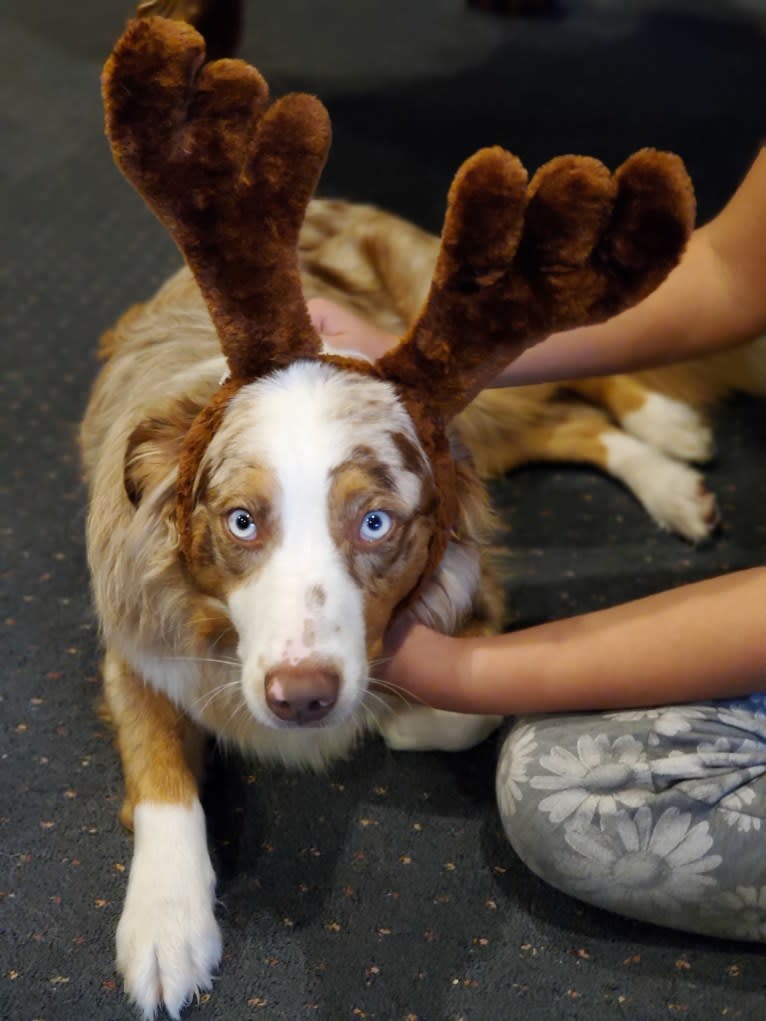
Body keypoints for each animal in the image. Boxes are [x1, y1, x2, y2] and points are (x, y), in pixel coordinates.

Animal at [85, 15, 727, 1021]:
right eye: (240, 521)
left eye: (378, 524)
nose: (301, 696)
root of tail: (334, 195)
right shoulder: (131, 639)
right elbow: (161, 773)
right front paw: (164, 923)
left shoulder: (473, 601)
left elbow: (445, 716)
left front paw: (387, 719)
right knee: (565, 423)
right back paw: (664, 461)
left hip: (481, 383)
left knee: (576, 391)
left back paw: (667, 433)